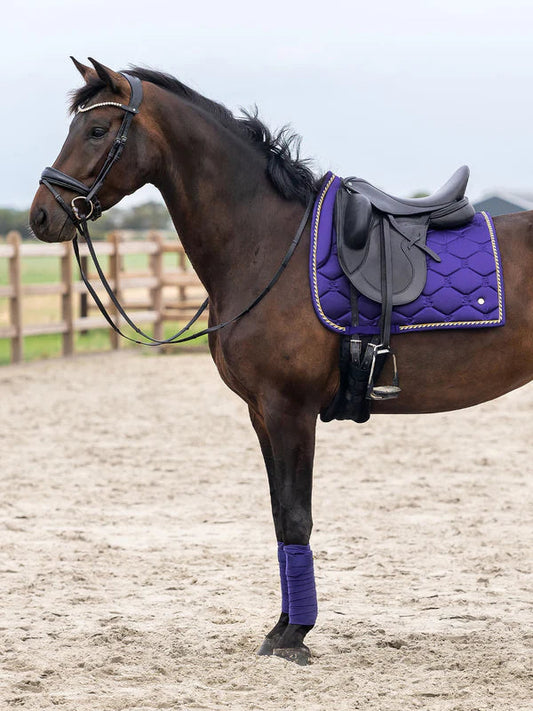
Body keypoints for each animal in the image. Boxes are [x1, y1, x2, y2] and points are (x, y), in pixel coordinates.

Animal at [30, 59, 532, 668]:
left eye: (98, 131)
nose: (41, 215)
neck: (266, 246)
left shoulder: (290, 409)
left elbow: (296, 515)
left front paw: (295, 635)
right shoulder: (261, 413)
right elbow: (278, 516)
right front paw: (282, 627)